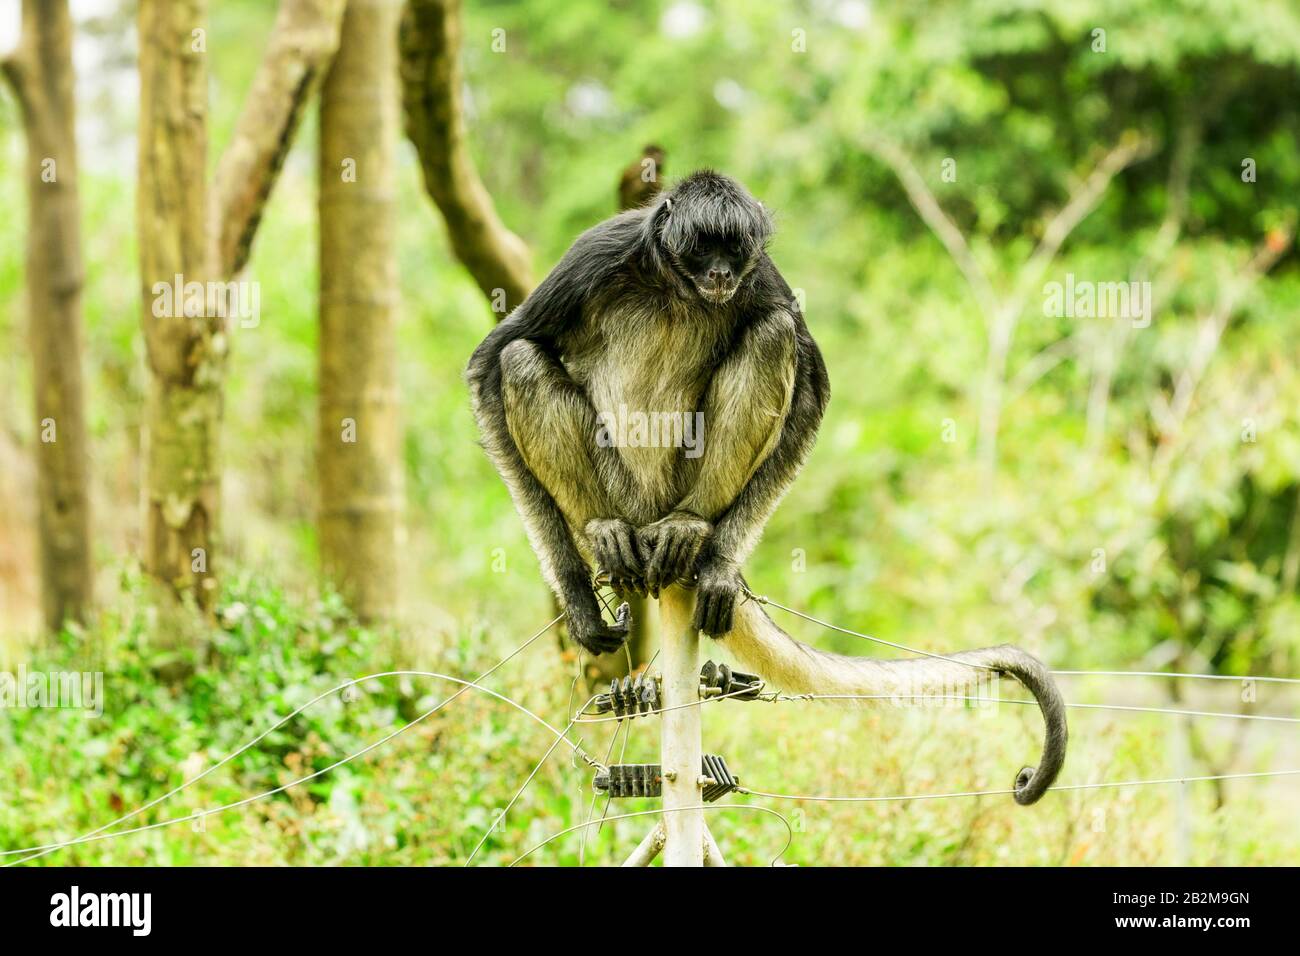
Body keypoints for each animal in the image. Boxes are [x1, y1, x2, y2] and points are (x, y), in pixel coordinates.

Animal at [467, 174, 1066, 806]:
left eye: (734, 252)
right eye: (703, 249)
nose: (722, 275)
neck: (677, 291)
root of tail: (651, 518)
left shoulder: (763, 276)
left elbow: (812, 390)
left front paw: (723, 566)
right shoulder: (600, 251)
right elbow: (489, 362)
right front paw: (576, 593)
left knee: (773, 335)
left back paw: (694, 532)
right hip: (620, 490)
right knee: (520, 358)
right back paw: (605, 532)